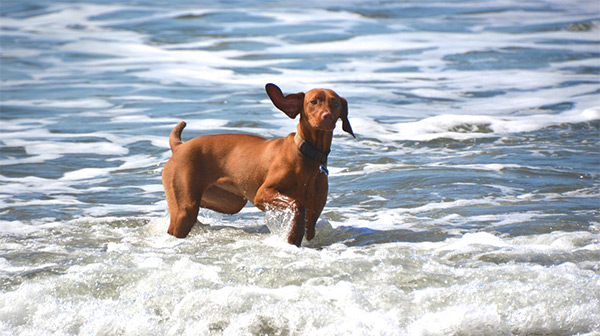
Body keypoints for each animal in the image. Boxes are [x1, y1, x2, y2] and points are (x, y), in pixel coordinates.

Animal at [162, 84, 354, 247]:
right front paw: (293, 235)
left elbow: (307, 223)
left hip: (229, 203)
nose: (327, 116)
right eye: (313, 101)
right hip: (185, 208)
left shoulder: (314, 211)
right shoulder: (263, 193)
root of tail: (179, 146)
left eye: (335, 103)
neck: (309, 156)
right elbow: (297, 204)